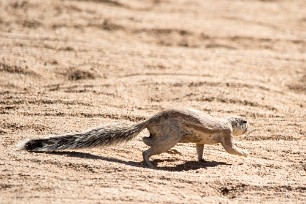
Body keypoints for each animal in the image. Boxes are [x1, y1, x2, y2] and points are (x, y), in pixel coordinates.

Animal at [17, 108, 249, 167]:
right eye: (245, 121)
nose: (251, 127)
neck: (227, 120)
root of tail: (149, 120)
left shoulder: (201, 140)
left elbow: (200, 149)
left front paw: (202, 159)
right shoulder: (227, 134)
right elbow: (231, 149)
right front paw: (245, 153)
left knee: (147, 140)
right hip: (169, 137)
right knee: (147, 146)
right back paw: (150, 162)